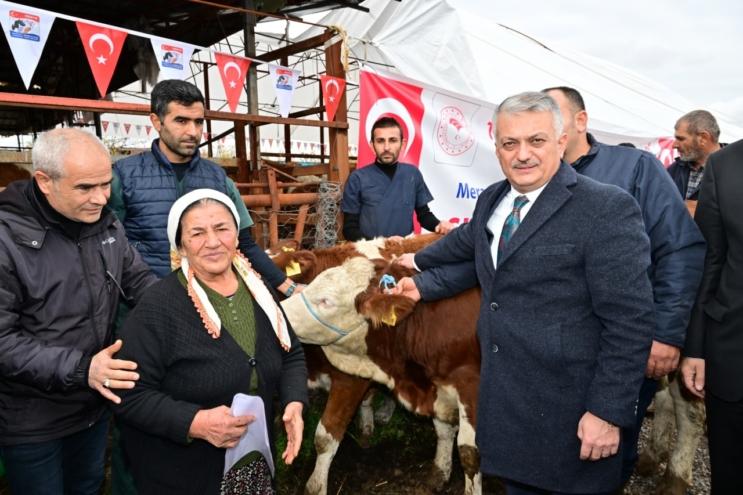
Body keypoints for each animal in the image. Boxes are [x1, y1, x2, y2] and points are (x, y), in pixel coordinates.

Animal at [280, 256, 482, 495]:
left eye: (326, 301)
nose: (278, 312)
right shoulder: (435, 390)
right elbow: (443, 430)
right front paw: (440, 473)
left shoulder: (471, 388)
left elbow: (469, 454)